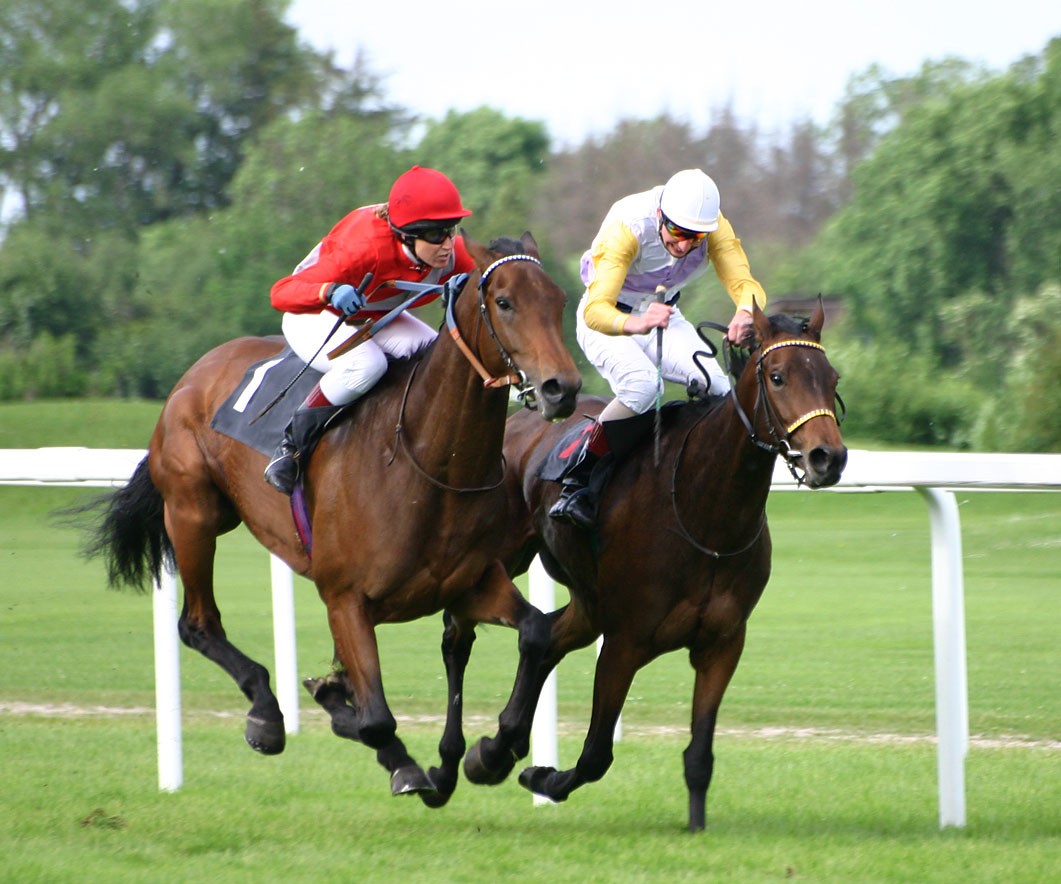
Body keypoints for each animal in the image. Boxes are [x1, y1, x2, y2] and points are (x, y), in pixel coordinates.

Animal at [81, 232, 582, 806]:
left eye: (559, 301)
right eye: (504, 302)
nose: (562, 388)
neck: (427, 465)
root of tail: (195, 374)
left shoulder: (467, 584)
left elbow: (536, 633)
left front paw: (493, 752)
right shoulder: (345, 599)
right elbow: (377, 719)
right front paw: (407, 765)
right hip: (193, 512)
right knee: (197, 624)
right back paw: (266, 714)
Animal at [462, 299, 847, 831]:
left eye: (831, 379)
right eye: (777, 376)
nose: (828, 457)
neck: (704, 514)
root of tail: (519, 421)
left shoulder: (722, 644)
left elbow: (699, 755)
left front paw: (696, 826)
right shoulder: (625, 641)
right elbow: (596, 754)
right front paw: (543, 778)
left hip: (589, 604)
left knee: (541, 638)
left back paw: (496, 748)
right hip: (494, 560)